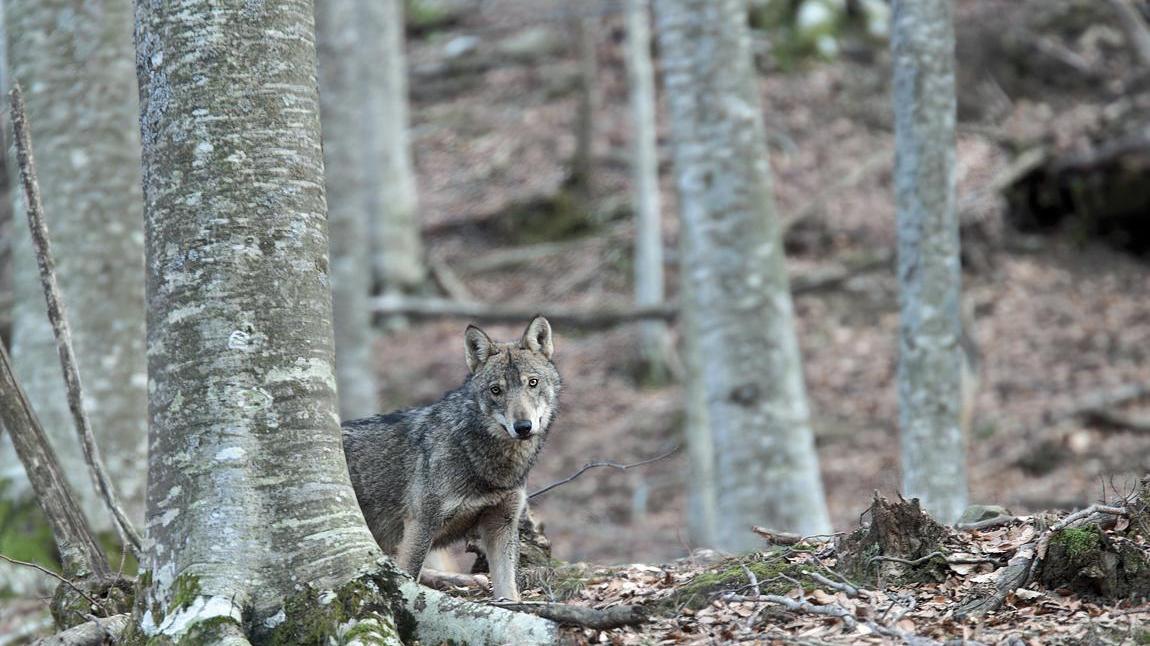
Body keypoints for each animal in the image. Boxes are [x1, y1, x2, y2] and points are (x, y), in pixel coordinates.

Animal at [342, 316, 560, 600]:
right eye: (496, 390)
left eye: (532, 383)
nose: (523, 427)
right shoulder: (421, 525)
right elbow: (408, 580)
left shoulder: (501, 524)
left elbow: (509, 590)